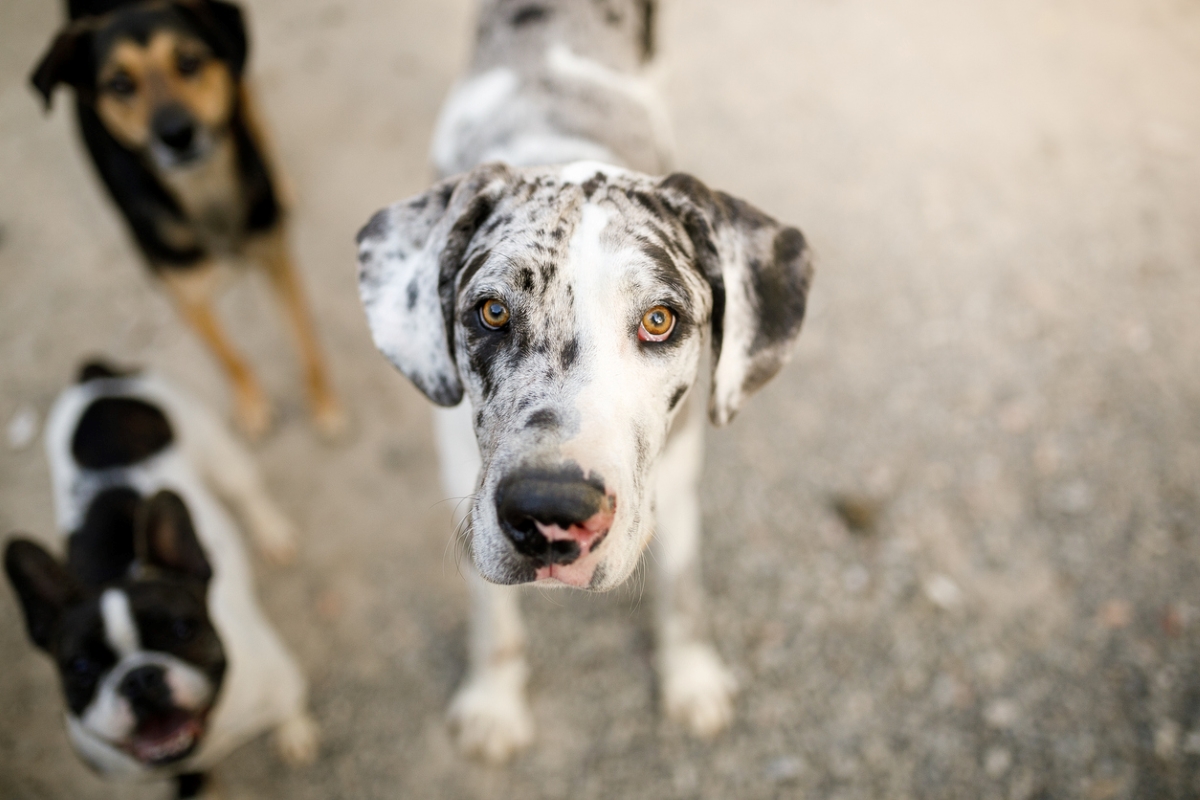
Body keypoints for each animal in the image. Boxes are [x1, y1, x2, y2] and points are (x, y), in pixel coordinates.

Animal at [2, 362, 319, 800]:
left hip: (218, 451)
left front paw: (294, 735)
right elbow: (193, 779)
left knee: (247, 490)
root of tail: (99, 377)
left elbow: (289, 710)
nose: (139, 678)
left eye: (182, 630)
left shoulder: (280, 681)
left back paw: (272, 532)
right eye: (80, 668)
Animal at [29, 0, 348, 438]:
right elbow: (229, 357)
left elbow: (306, 340)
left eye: (188, 62)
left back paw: (280, 181)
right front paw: (251, 402)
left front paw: (325, 403)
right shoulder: (184, 298)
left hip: (241, 77)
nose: (177, 135)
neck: (203, 191)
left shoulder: (277, 261)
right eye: (119, 84)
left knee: (254, 113)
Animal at [350, 0, 811, 762]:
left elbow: (681, 591)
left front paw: (691, 678)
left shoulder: (675, 481)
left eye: (659, 320)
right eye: (492, 311)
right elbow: (492, 614)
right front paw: (494, 703)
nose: (549, 512)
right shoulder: (464, 484)